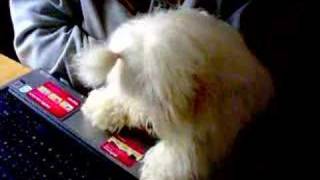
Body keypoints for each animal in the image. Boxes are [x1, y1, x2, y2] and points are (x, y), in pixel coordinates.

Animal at [74, 8, 272, 180]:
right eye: (134, 92)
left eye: (156, 98)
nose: (146, 123)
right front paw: (102, 107)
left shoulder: (210, 125)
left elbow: (186, 149)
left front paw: (158, 170)